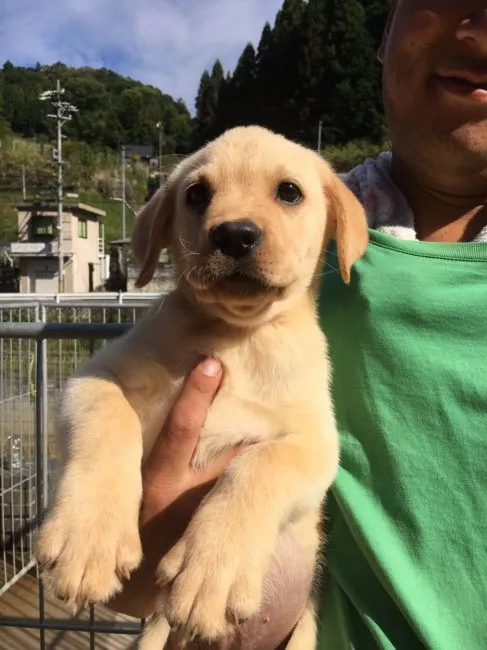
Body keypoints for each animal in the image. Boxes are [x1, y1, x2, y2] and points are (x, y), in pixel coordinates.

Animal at [36, 124, 368, 644]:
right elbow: (107, 419)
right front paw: (87, 539)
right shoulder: (95, 376)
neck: (236, 338)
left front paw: (212, 571)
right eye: (196, 194)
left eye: (289, 192)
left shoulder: (316, 443)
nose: (234, 234)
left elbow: (258, 464)